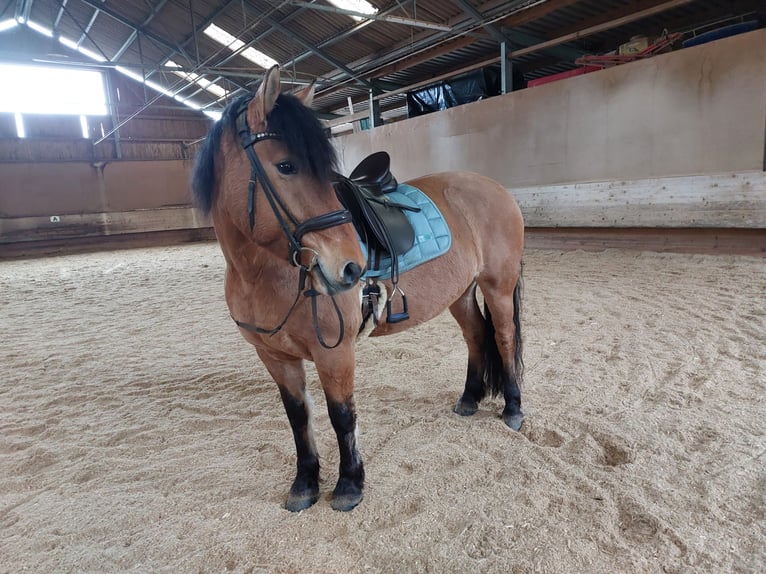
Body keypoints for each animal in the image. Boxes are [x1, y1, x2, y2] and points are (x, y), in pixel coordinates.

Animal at [192, 65, 524, 512]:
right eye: (285, 165)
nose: (352, 267)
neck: (264, 274)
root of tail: (496, 189)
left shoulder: (335, 352)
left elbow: (341, 415)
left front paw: (350, 485)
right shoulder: (274, 356)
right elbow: (299, 417)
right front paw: (304, 484)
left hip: (497, 287)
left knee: (504, 338)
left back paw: (513, 408)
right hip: (459, 294)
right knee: (475, 335)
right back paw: (470, 398)